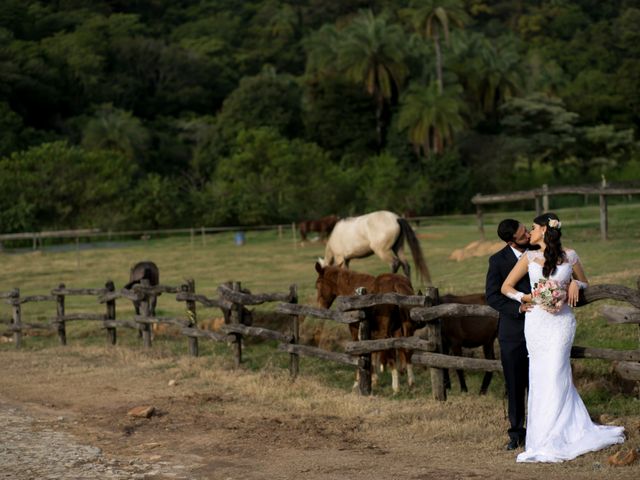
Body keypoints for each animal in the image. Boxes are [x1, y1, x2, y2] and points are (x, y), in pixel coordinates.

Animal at [314, 262, 416, 394]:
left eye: (317, 285)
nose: (320, 307)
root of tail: (397, 283)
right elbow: (372, 352)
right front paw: (374, 380)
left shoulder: (355, 330)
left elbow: (360, 353)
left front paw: (357, 383)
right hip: (403, 330)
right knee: (407, 350)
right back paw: (411, 384)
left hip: (386, 332)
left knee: (391, 352)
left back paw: (396, 387)